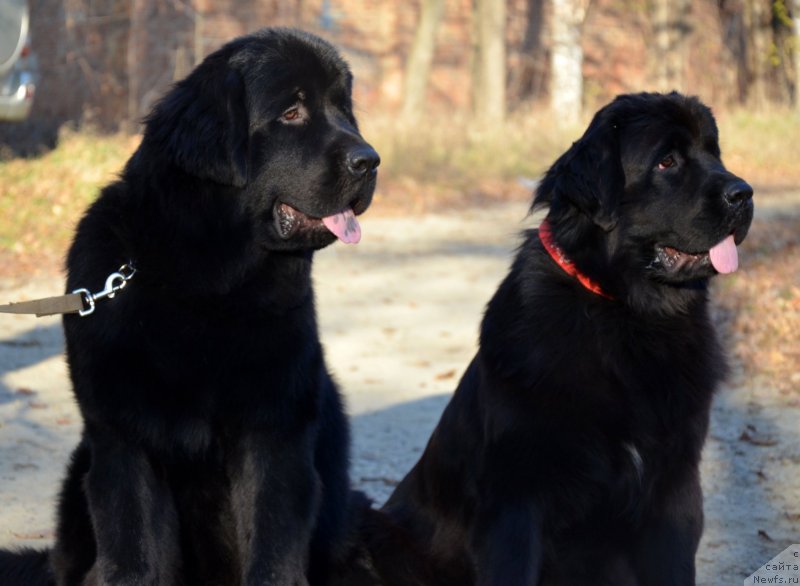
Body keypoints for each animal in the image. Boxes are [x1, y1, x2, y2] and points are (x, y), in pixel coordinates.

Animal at [0, 27, 378, 584]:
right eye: (292, 112)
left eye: (343, 109)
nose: (370, 160)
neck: (204, 283)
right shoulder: (122, 438)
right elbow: (131, 554)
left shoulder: (275, 430)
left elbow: (272, 551)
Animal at [348, 92, 752, 584]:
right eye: (667, 161)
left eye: (715, 153)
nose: (744, 193)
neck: (625, 313)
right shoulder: (517, 499)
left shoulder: (674, 486)